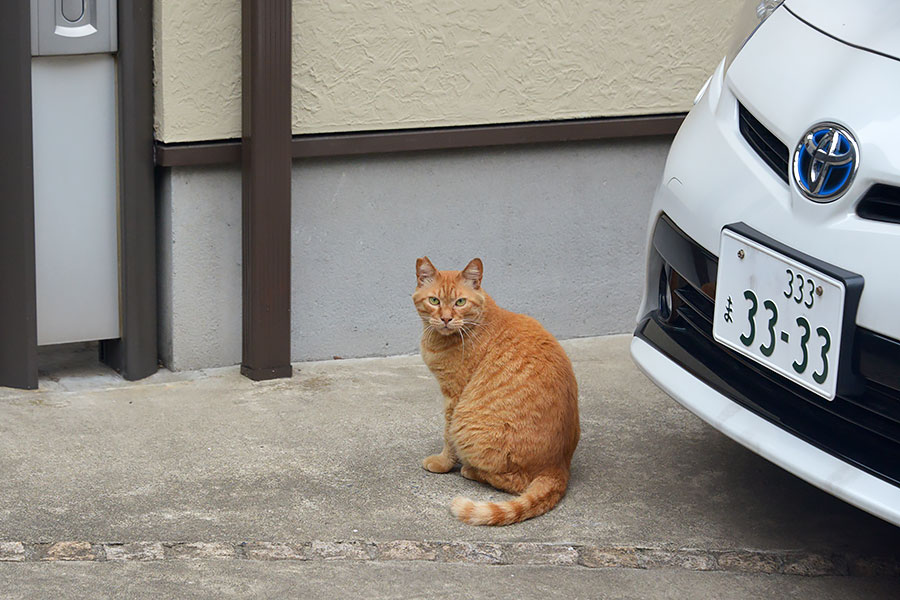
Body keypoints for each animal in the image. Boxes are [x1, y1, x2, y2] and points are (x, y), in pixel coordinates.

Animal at [414, 255, 580, 524]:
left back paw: (470, 471)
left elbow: (447, 436)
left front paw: (443, 463)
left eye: (460, 302)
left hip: (467, 422)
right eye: (434, 301)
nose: (446, 318)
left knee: (515, 482)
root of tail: (558, 467)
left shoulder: (454, 396)